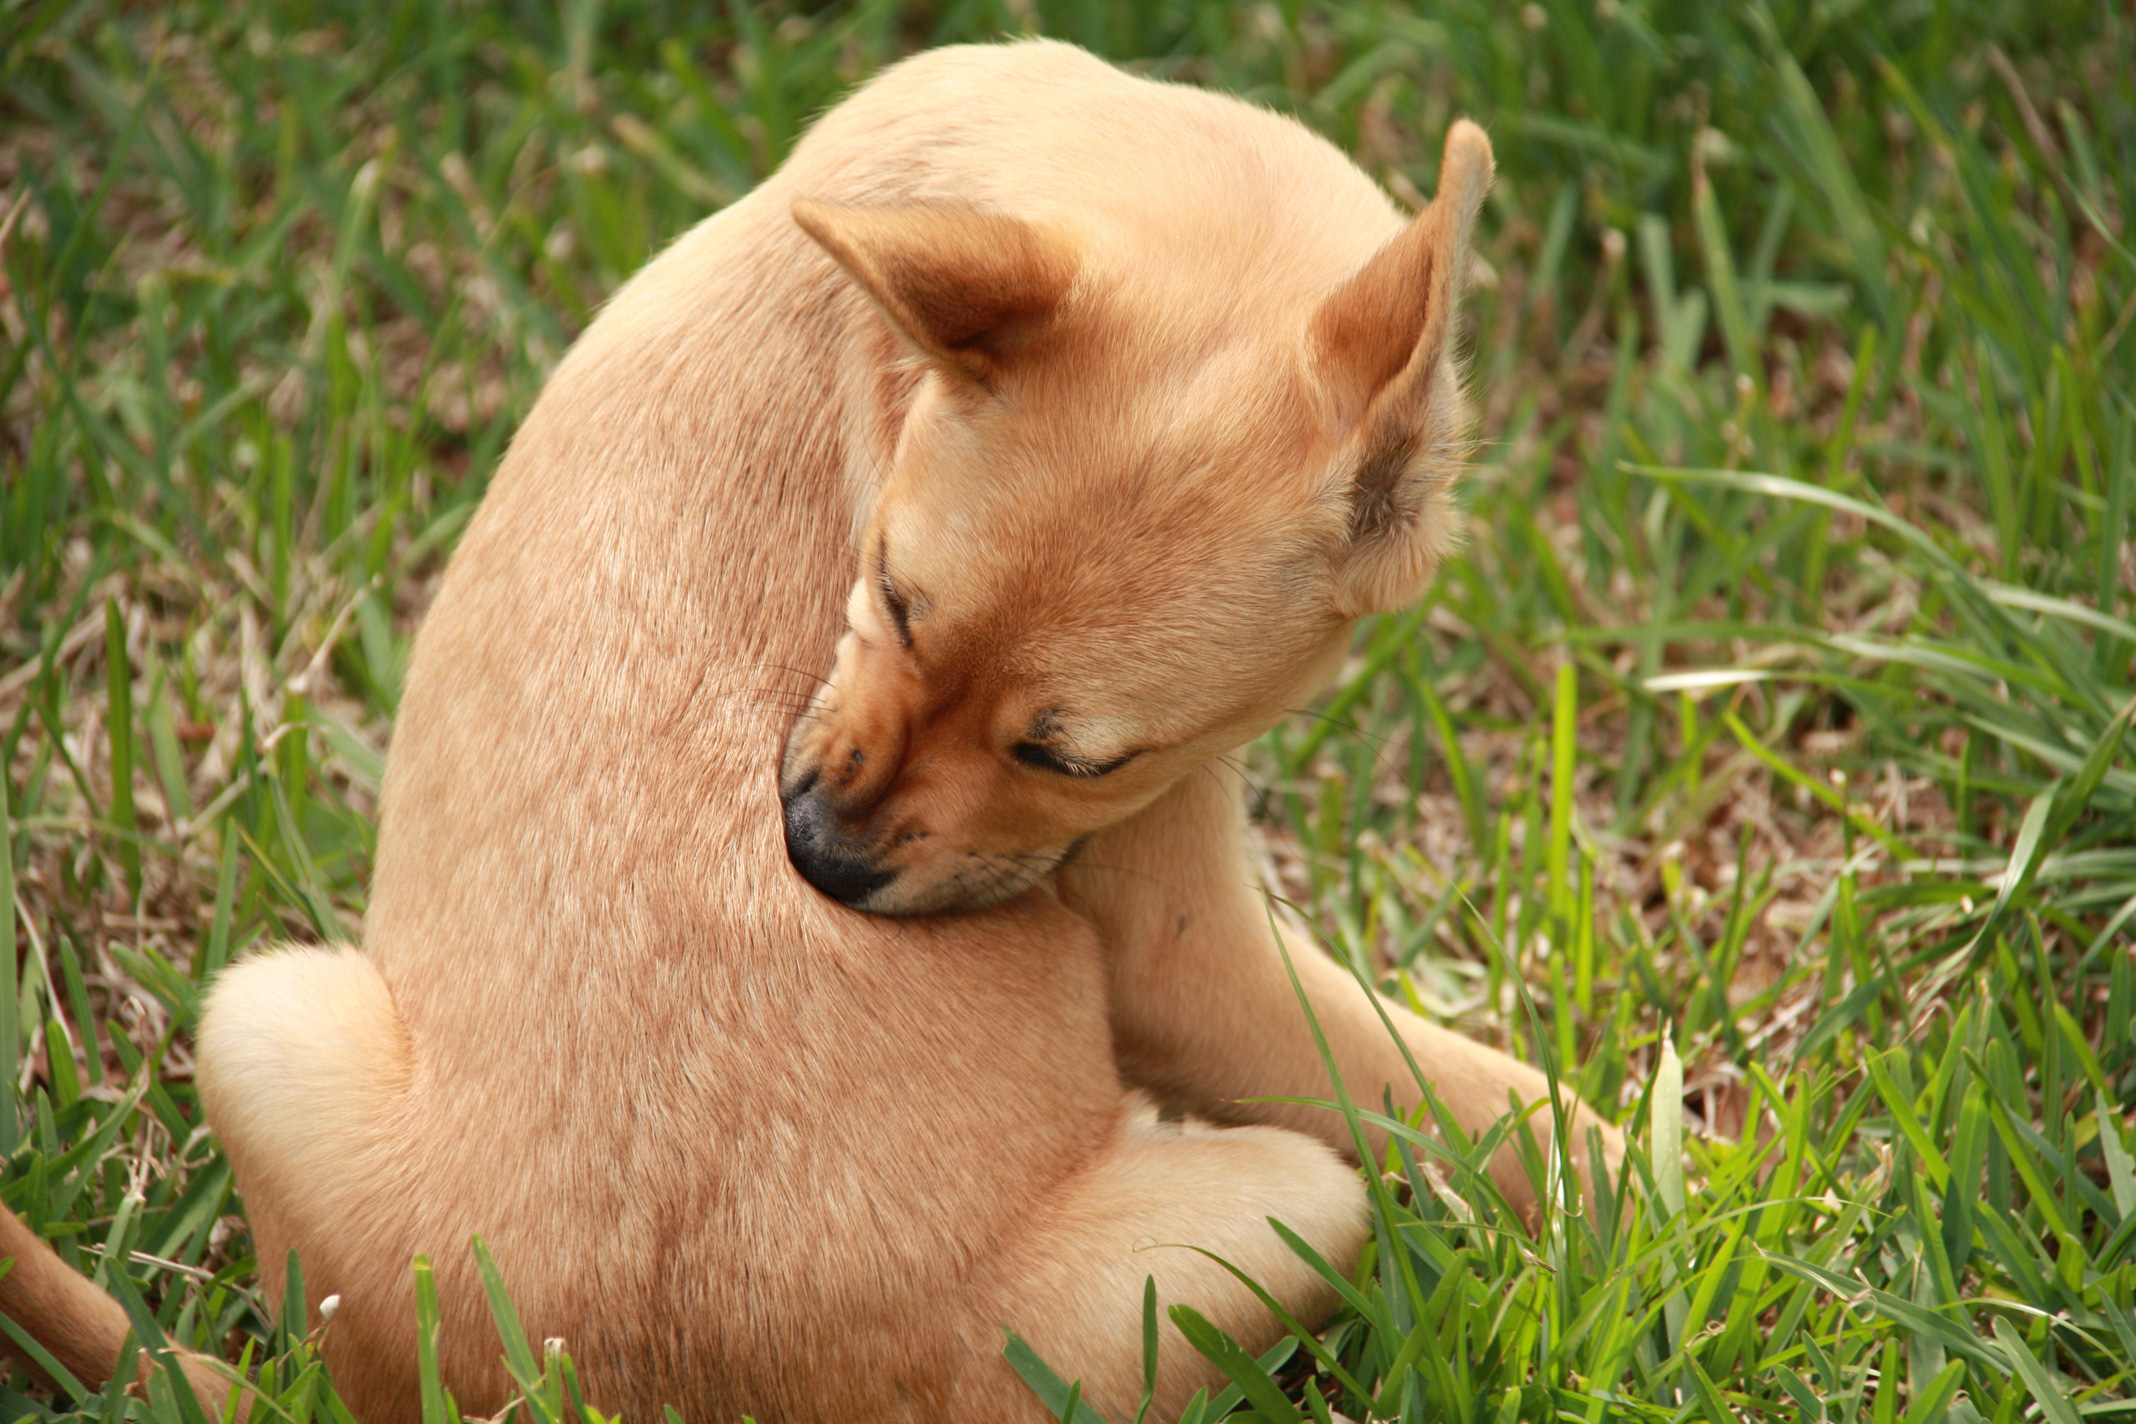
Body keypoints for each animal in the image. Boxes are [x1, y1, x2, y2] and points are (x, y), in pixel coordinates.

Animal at [0, 38, 1614, 1417]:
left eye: (1068, 756)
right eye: (890, 593)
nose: (817, 859)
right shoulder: (1182, 947)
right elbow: (1485, 1098)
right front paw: (1647, 1179)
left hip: (264, 1029)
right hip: (1294, 1200)